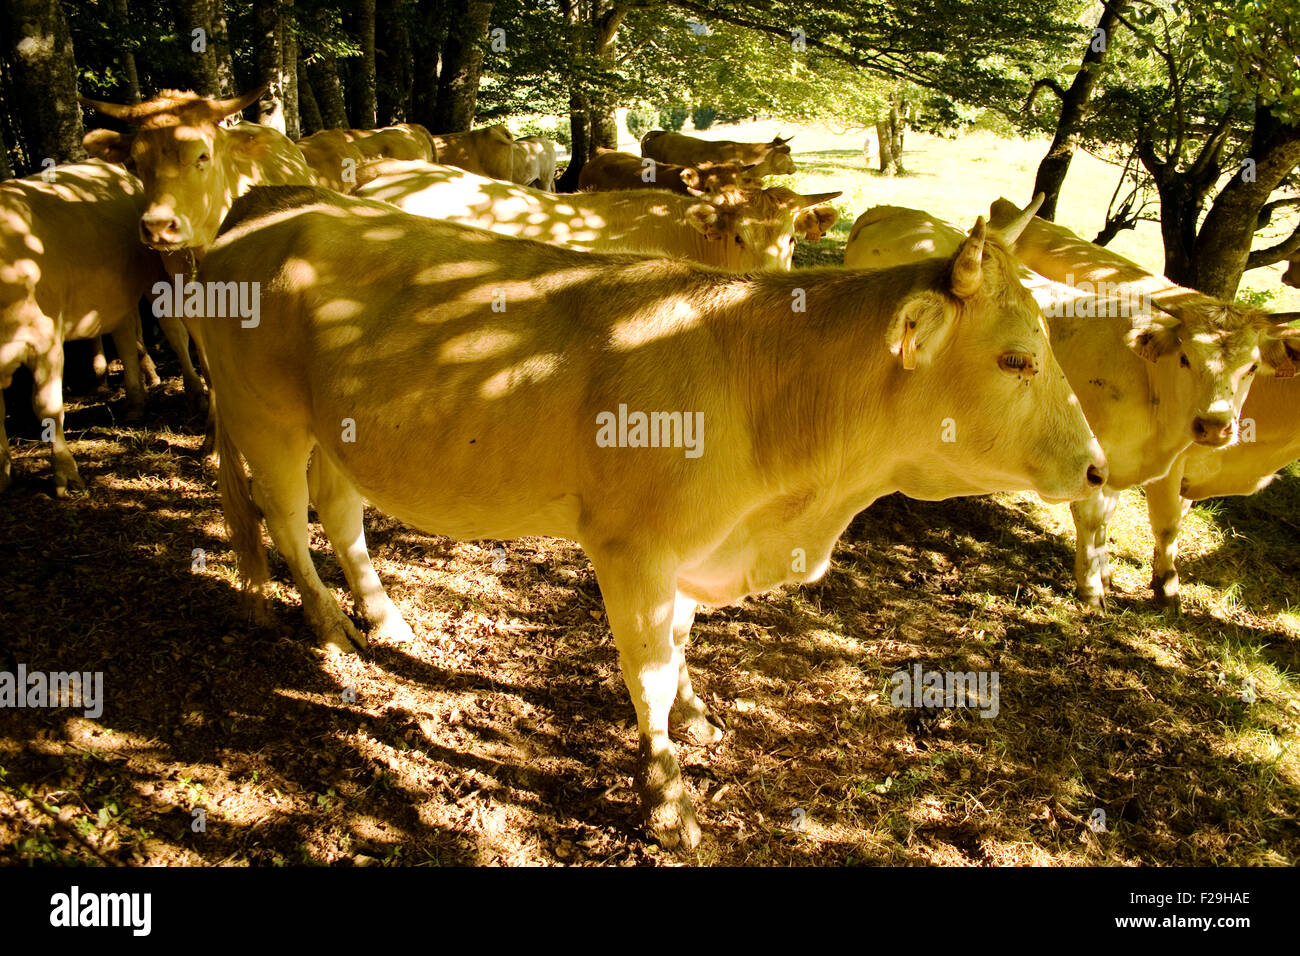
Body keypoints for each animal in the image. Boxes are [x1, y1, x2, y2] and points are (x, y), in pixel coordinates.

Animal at [0, 162, 164, 495]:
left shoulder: (46, 341)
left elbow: (47, 408)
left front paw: (65, 474)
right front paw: (3, 475)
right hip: (115, 297)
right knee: (126, 337)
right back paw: (135, 401)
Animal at [196, 184, 1106, 848]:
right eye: (1016, 359)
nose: (1098, 467)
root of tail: (273, 201)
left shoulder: (696, 550)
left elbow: (682, 643)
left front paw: (697, 717)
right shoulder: (634, 549)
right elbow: (650, 670)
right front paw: (666, 798)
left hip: (336, 431)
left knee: (341, 511)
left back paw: (384, 618)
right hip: (265, 414)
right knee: (287, 519)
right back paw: (330, 628)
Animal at [848, 199, 1300, 605]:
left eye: (1252, 367)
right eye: (1187, 358)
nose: (1214, 426)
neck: (1149, 381)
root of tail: (893, 212)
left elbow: (1118, 524)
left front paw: (1109, 575)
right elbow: (1114, 521)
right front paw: (1096, 590)